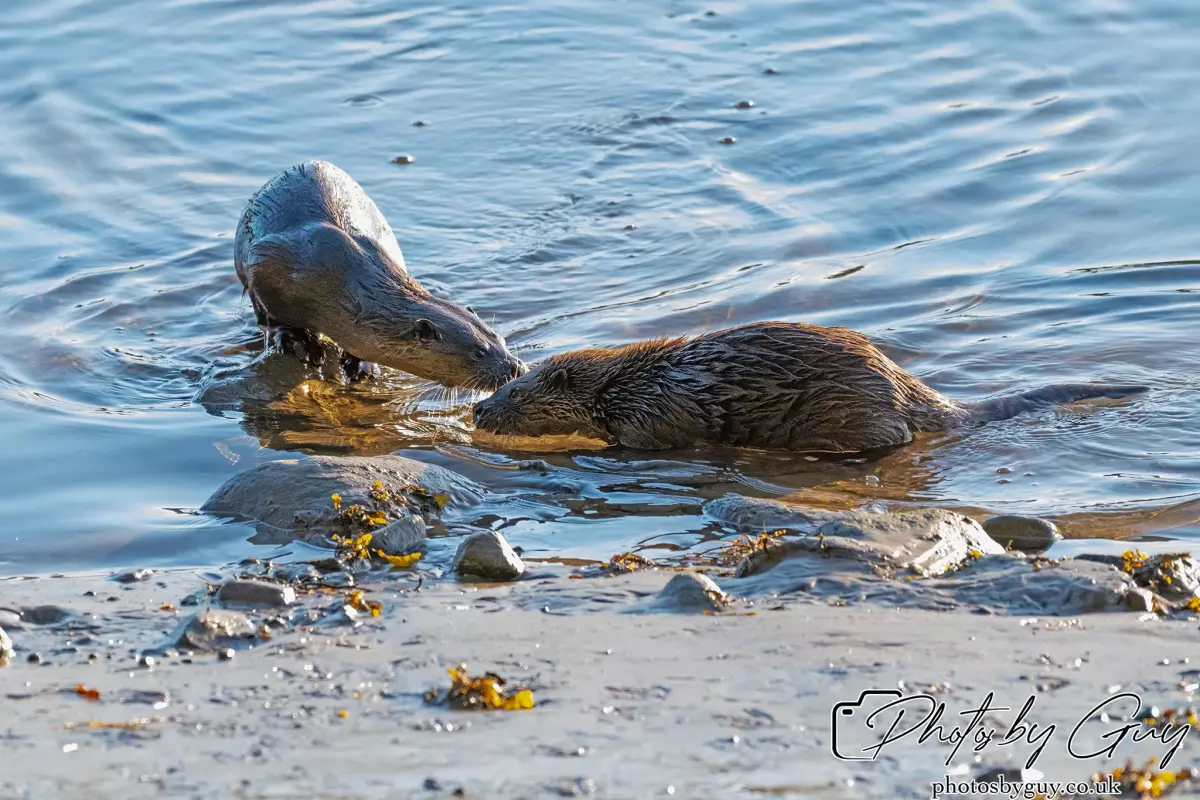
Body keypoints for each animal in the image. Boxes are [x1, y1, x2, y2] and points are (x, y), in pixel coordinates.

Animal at [235, 161, 524, 389]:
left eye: (500, 339)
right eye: (479, 352)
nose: (516, 368)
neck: (341, 281)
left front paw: (362, 365)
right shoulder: (265, 261)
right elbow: (271, 316)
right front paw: (299, 343)